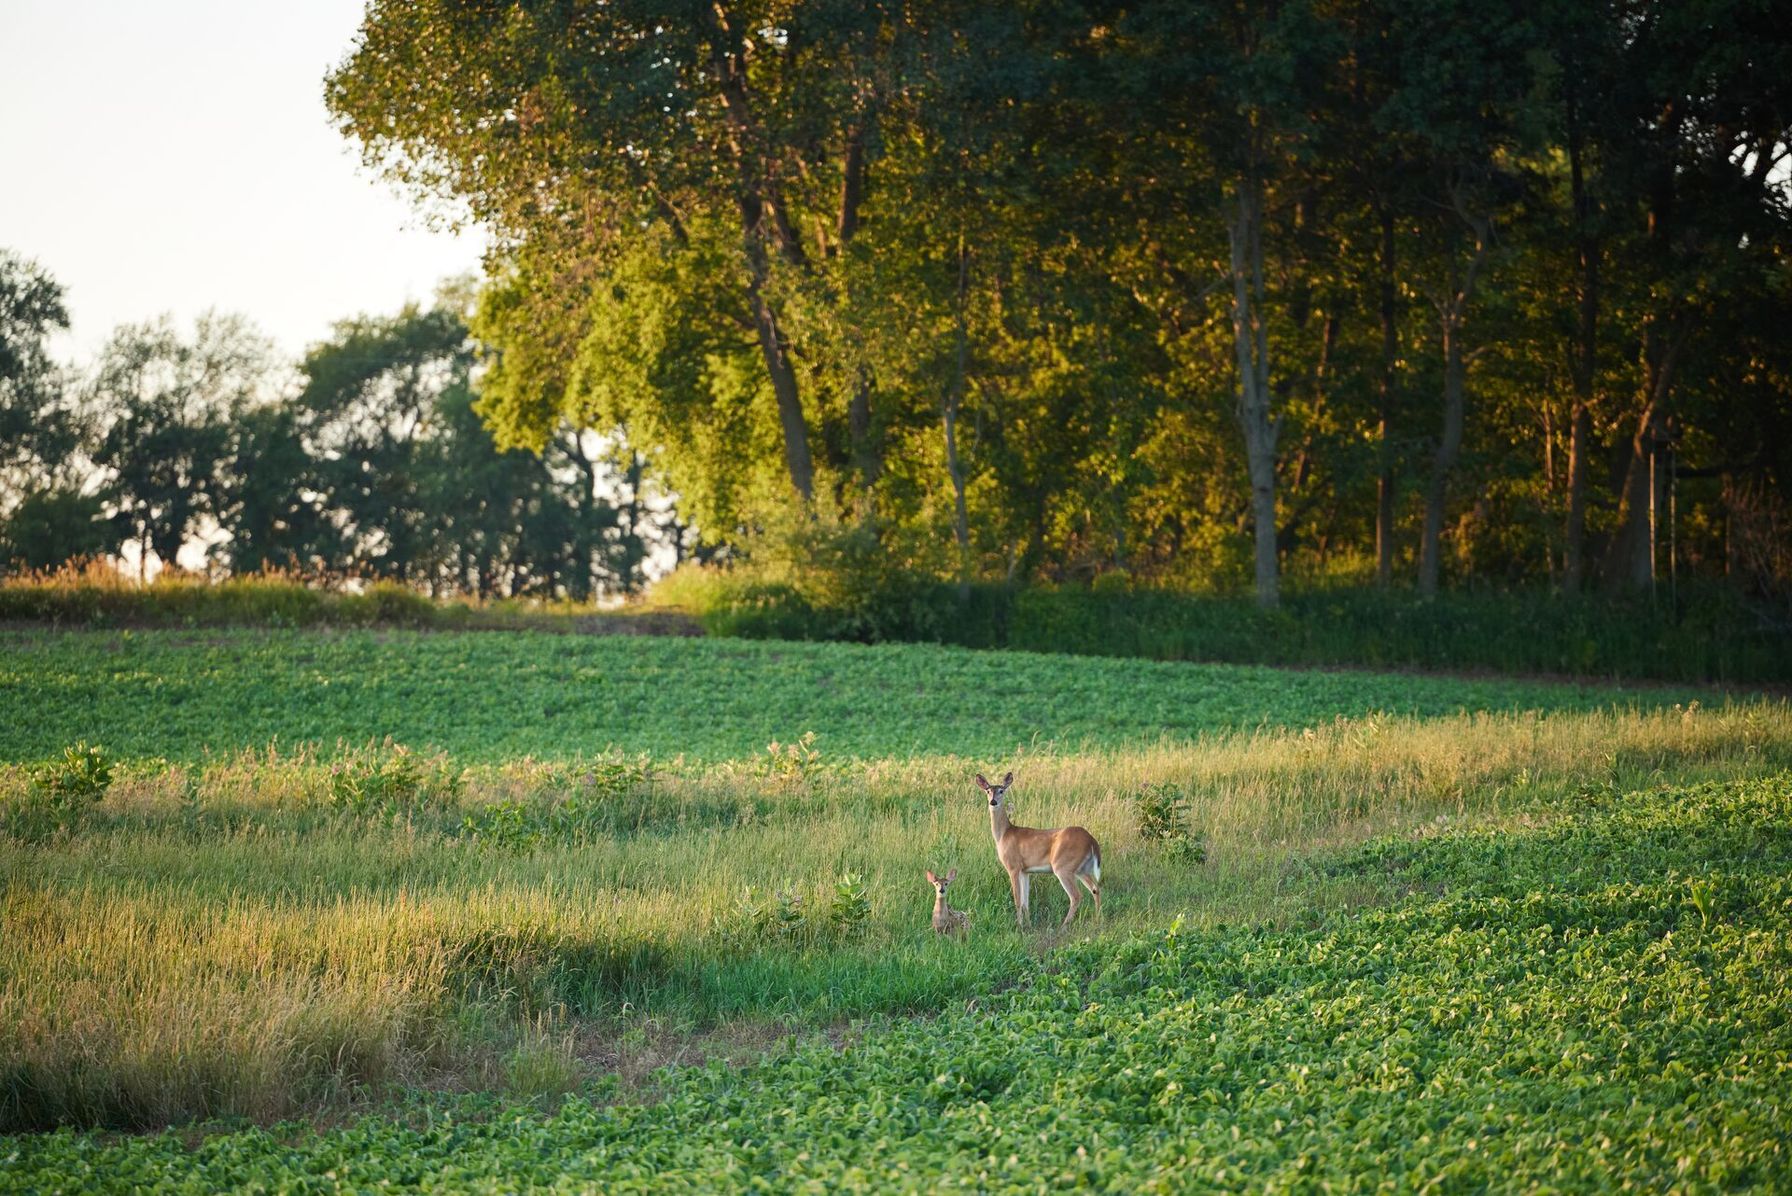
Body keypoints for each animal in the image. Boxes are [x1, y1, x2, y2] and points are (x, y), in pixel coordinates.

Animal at [977, 771, 1101, 928]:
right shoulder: (1025, 870)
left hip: (1063, 866)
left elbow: (1018, 899)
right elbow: (1025, 902)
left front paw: (1019, 926)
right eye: (988, 791)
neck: (1003, 835)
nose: (993, 802)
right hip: (1081, 868)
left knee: (1076, 896)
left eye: (1001, 790)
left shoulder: (1013, 866)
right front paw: (1028, 924)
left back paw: (1063, 926)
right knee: (1095, 888)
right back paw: (1097, 920)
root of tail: (1091, 840)